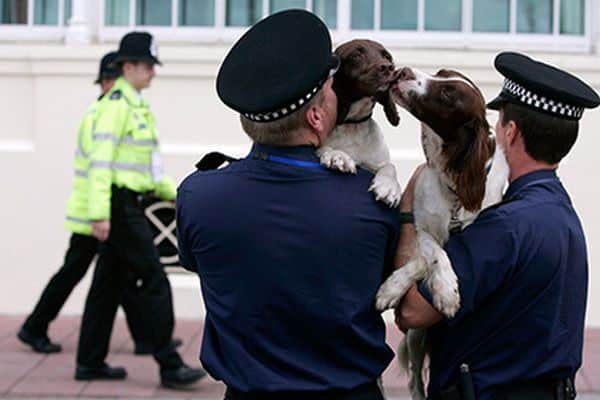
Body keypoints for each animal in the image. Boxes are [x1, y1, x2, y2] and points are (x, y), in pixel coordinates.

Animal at [318, 39, 404, 206]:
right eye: (356, 55)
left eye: (387, 56)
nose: (388, 68)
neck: (353, 125)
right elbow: (325, 148)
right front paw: (338, 156)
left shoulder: (374, 163)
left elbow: (390, 166)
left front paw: (388, 186)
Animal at [378, 68, 508, 400]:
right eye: (440, 74)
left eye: (449, 94)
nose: (402, 71)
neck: (455, 192)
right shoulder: (422, 226)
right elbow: (433, 254)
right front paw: (440, 290)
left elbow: (432, 257)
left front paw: (444, 292)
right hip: (415, 335)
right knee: (415, 379)